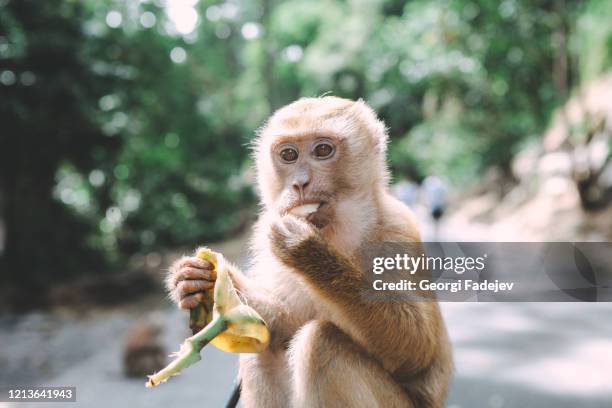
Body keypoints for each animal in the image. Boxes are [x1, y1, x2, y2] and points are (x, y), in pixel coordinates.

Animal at [165, 97, 452, 406]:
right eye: (289, 155)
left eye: (323, 150)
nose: (300, 182)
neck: (336, 229)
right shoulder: (266, 228)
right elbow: (283, 324)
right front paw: (195, 281)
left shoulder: (397, 230)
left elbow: (416, 352)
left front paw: (308, 252)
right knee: (263, 352)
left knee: (322, 344)